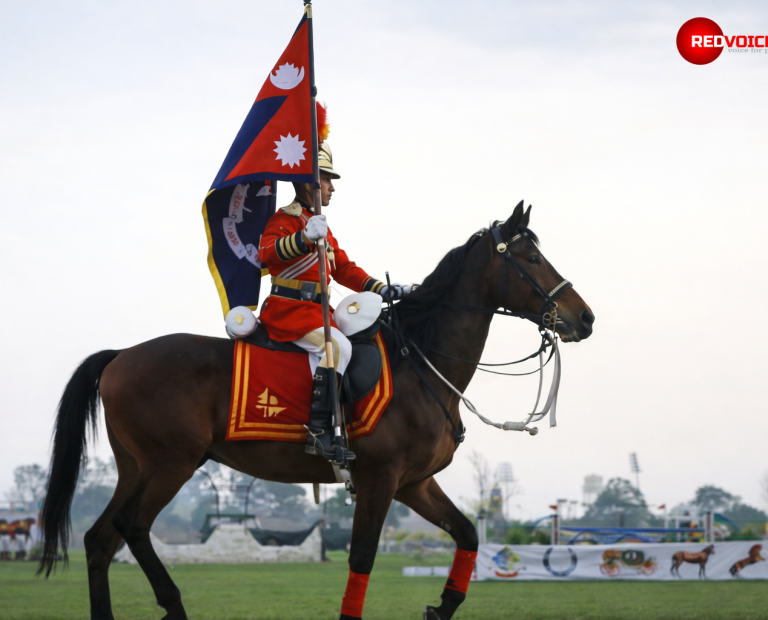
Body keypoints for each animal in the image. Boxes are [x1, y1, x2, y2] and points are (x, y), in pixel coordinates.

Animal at [38, 202, 594, 620]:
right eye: (531, 258)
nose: (584, 317)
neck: (420, 361)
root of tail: (121, 355)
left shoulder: (415, 482)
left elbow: (468, 533)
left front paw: (442, 606)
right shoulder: (380, 478)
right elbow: (363, 556)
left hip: (136, 467)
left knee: (100, 539)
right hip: (171, 464)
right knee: (132, 527)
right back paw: (173, 605)